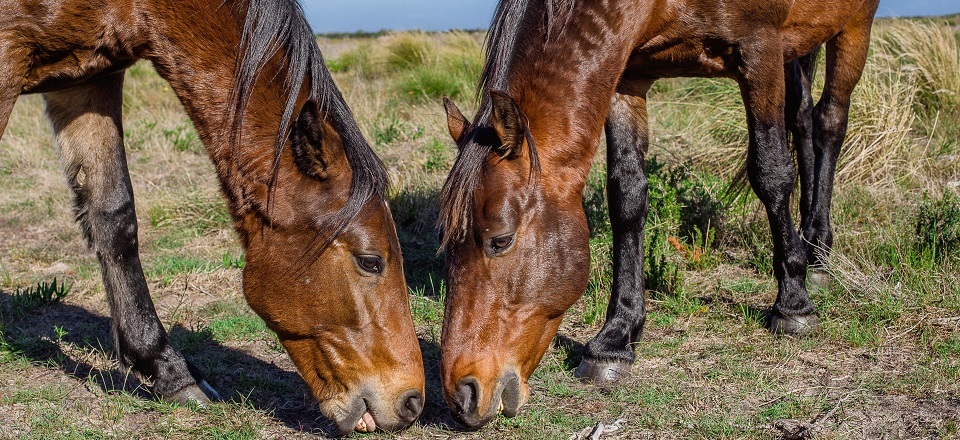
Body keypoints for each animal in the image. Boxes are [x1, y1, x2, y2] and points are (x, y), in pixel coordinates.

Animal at [438, 0, 879, 428]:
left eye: (501, 240)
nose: (462, 395)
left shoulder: (760, 51)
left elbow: (770, 171)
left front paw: (793, 303)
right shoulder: (628, 75)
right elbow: (627, 197)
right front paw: (615, 338)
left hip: (854, 26)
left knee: (829, 120)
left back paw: (817, 250)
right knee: (802, 118)